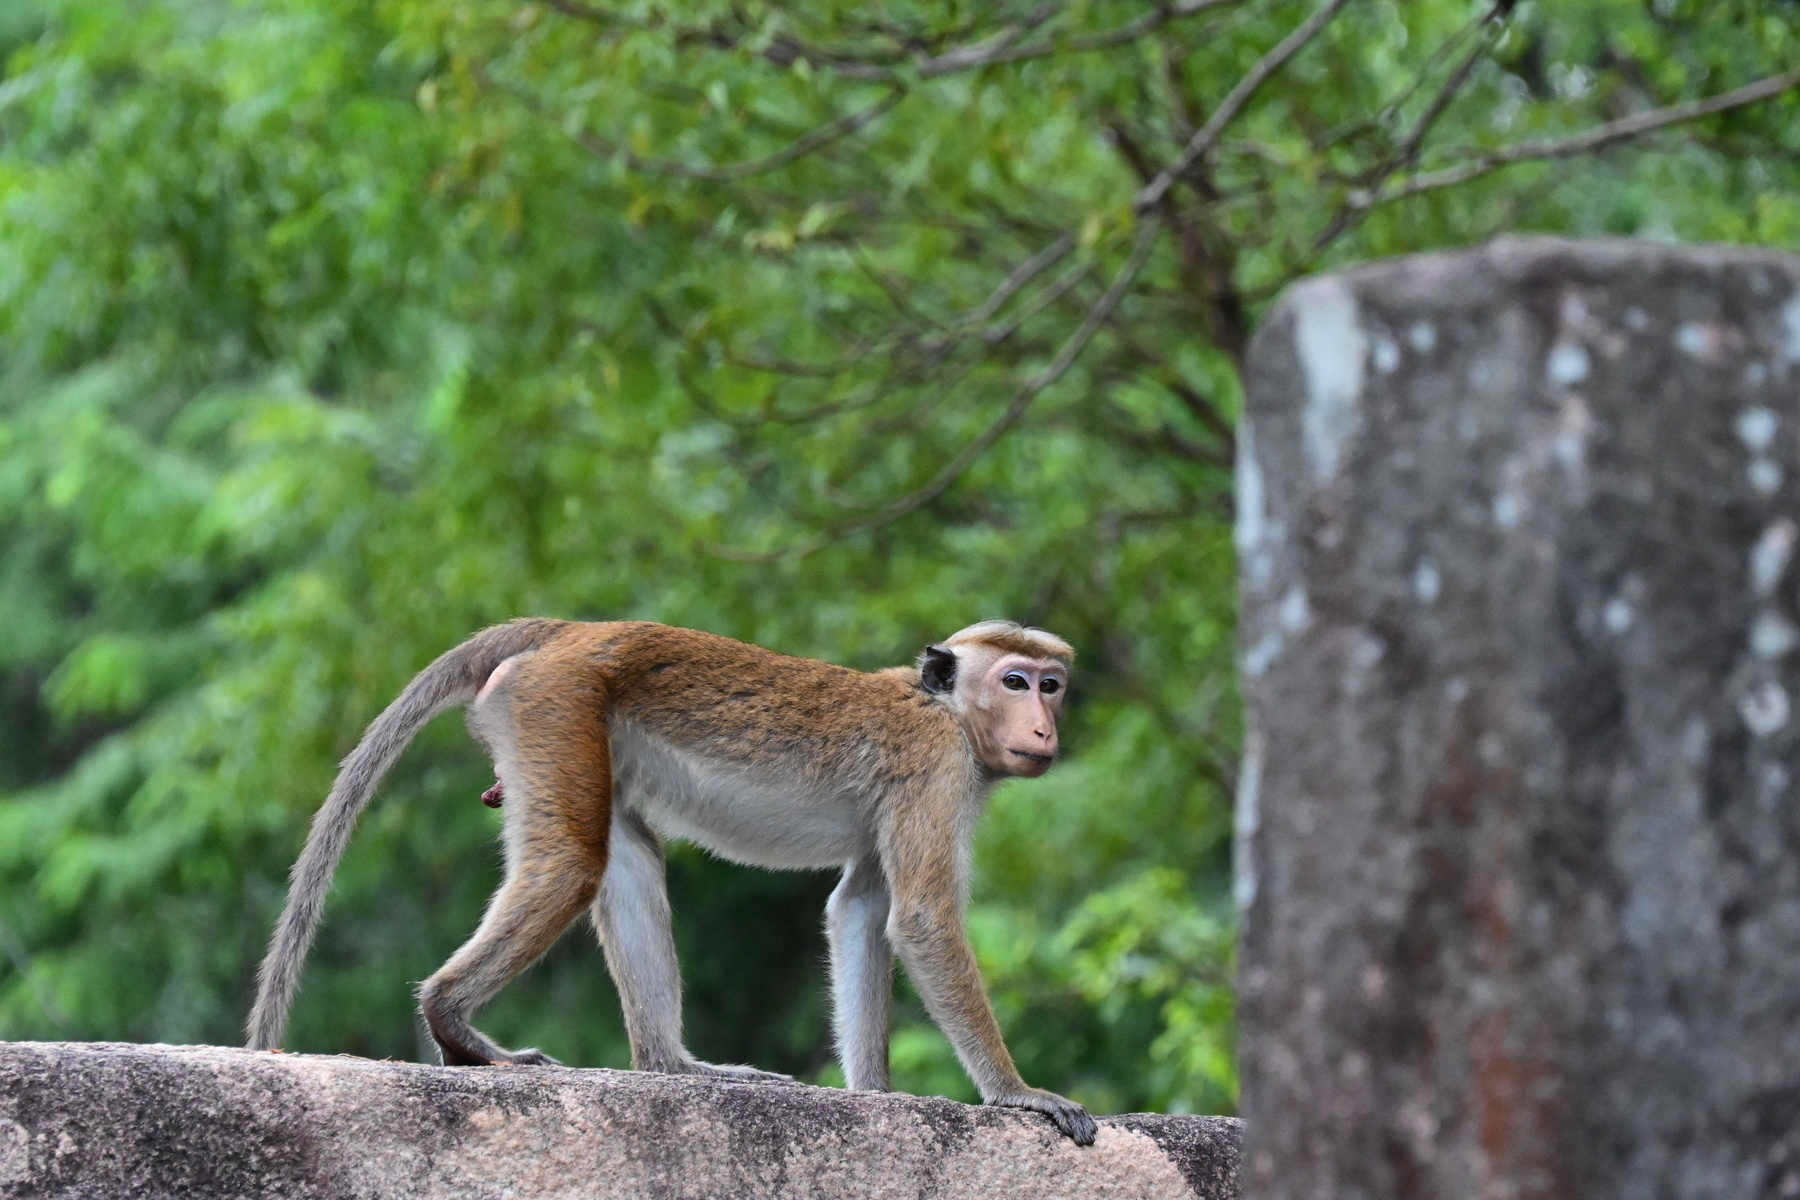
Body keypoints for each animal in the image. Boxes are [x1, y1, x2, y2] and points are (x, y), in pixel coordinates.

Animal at [248, 618, 1101, 1144]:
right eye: (1017, 681)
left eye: (1052, 684)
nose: (1043, 726)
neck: (946, 708)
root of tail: (573, 630)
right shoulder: (937, 768)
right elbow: (921, 917)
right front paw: (1018, 1094)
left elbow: (861, 908)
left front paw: (875, 1098)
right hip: (557, 703)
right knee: (574, 863)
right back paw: (451, 1019)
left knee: (624, 855)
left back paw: (676, 1066)